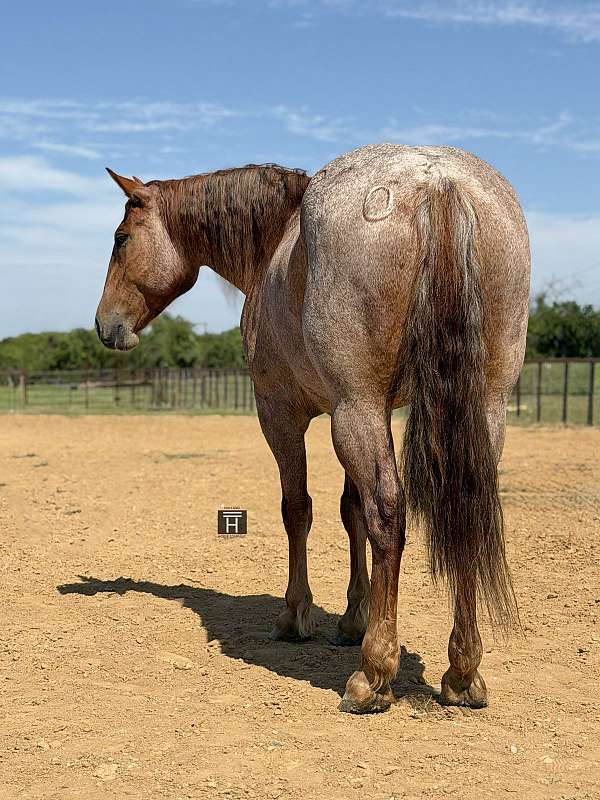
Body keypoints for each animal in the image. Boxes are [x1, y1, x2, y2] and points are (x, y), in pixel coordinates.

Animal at [95, 143, 530, 714]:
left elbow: (298, 510)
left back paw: (373, 675)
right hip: (479, 409)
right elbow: (351, 513)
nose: (105, 326)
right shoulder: (373, 411)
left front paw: (296, 616)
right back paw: (462, 672)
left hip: (355, 410)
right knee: (463, 508)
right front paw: (352, 619)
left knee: (388, 514)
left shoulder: (285, 415)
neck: (277, 243)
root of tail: (435, 180)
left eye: (121, 239)